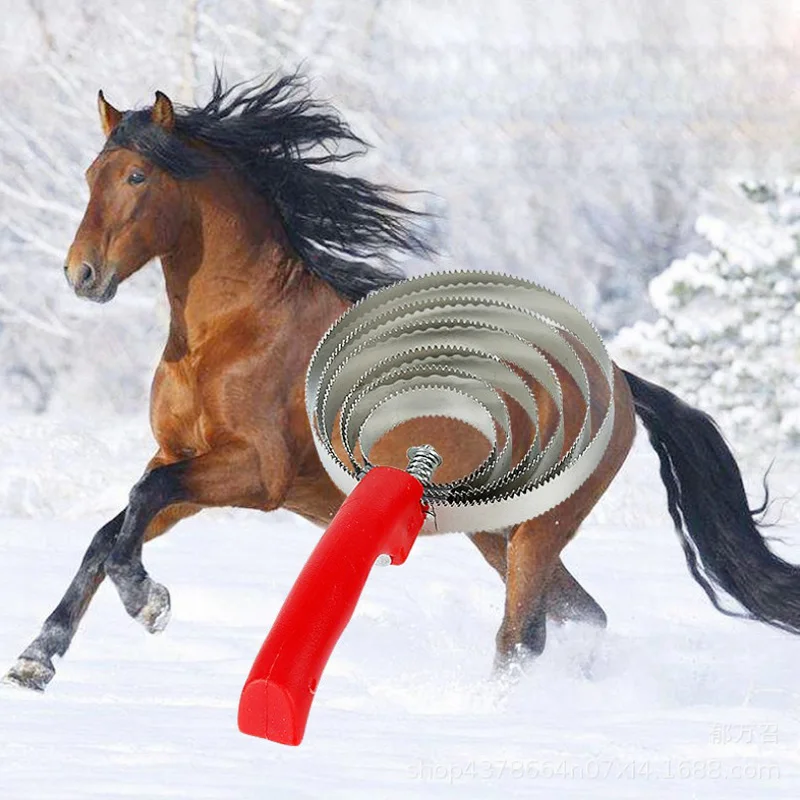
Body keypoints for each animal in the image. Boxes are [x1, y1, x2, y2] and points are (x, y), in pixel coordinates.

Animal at [6, 72, 800, 692]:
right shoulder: (183, 460)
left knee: (524, 633)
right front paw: (38, 659)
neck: (232, 331)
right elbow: (111, 530)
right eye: (89, 177)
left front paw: (148, 603)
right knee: (581, 617)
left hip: (538, 530)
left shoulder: (253, 473)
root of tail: (621, 385)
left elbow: (139, 504)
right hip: (498, 534)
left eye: (137, 177)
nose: (81, 275)